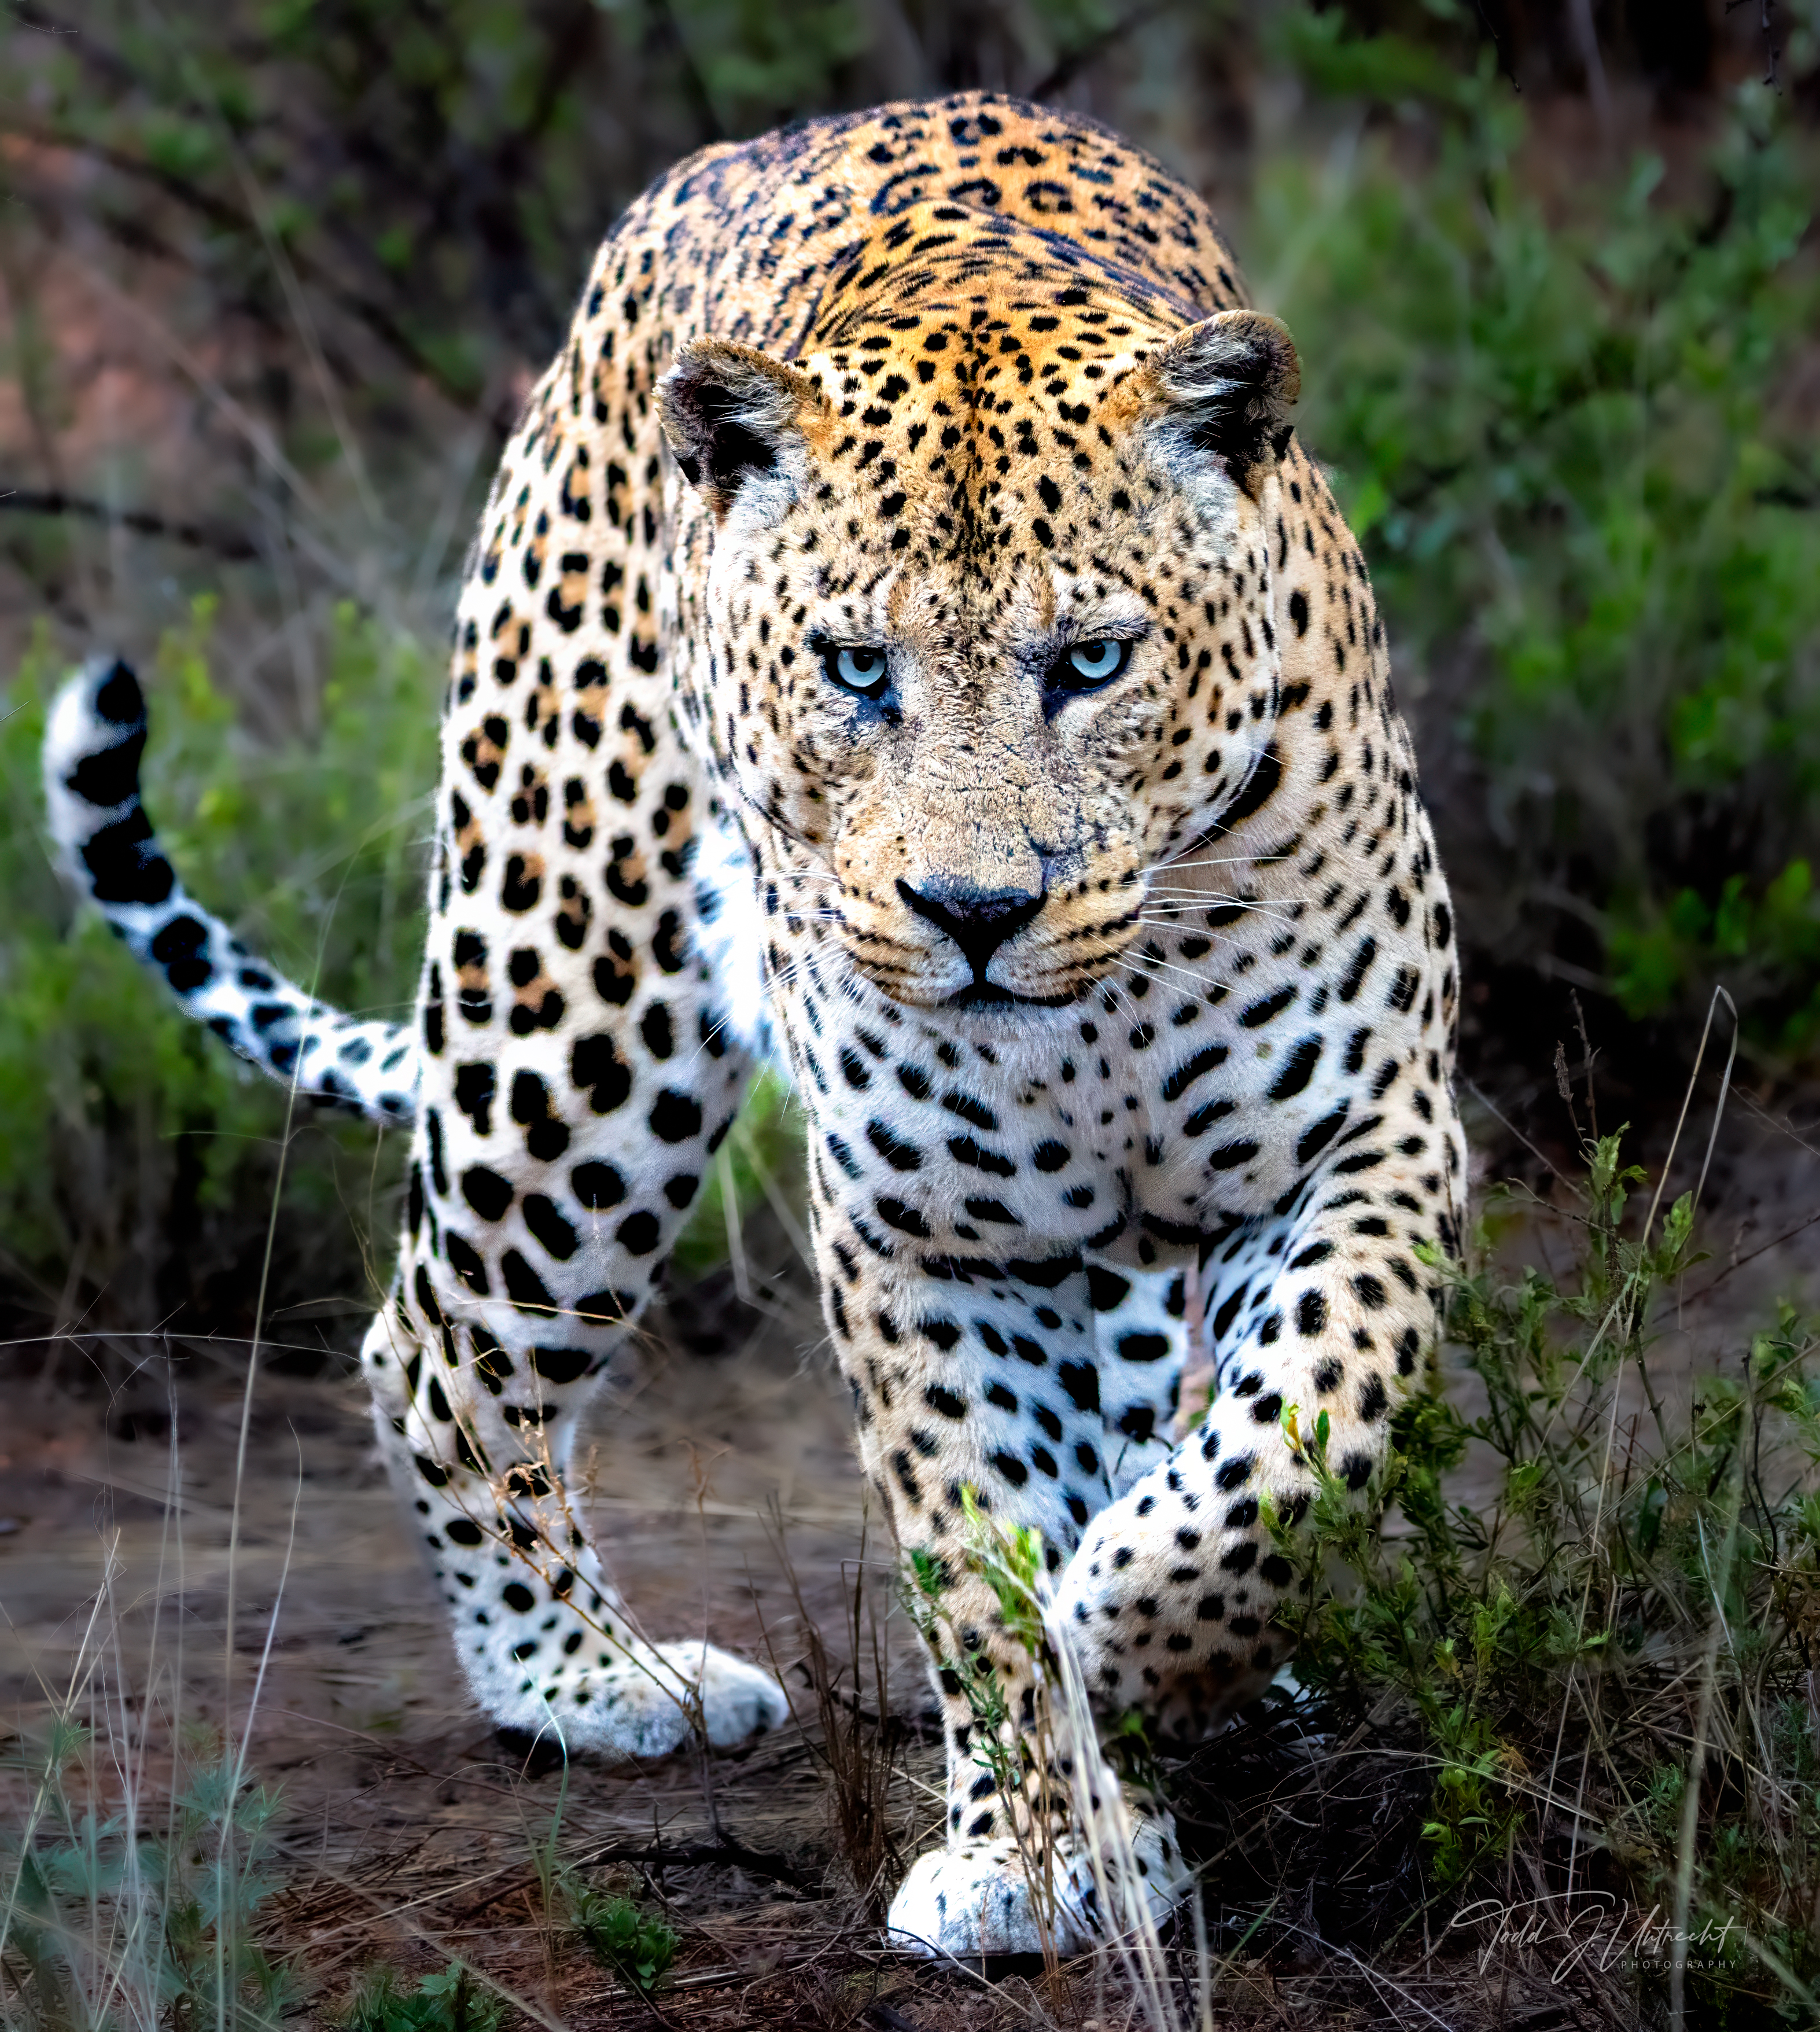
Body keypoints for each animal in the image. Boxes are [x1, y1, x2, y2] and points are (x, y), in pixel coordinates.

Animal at [43, 89, 1465, 1960]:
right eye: (857, 671)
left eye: (1090, 661)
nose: (973, 914)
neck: (1096, 1004)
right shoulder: (925, 1229)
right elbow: (978, 1543)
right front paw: (1036, 1843)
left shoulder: (1368, 1135)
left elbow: (1301, 1434)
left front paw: (1147, 1651)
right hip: (573, 1015)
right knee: (433, 1342)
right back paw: (589, 1676)